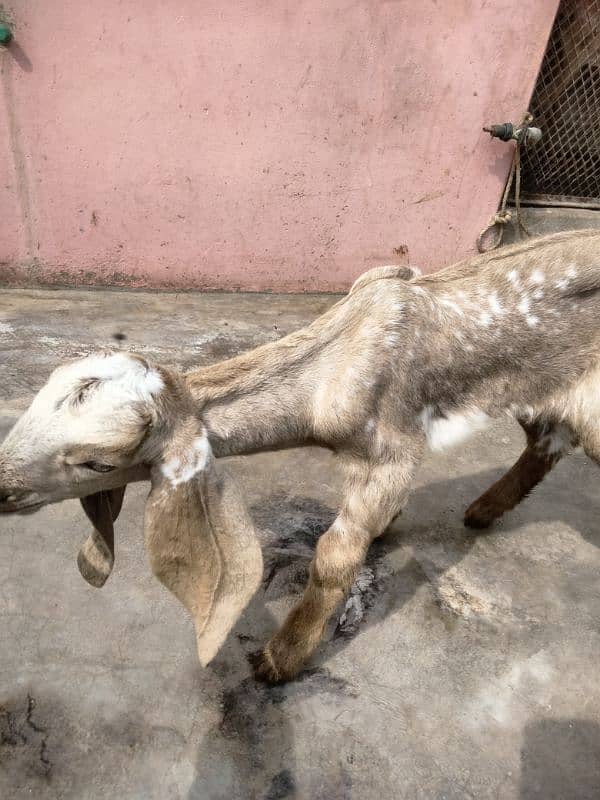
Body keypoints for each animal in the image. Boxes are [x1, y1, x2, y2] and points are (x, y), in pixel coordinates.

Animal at [1, 228, 600, 684]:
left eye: (97, 464)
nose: (2, 485)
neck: (334, 365)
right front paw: (388, 523)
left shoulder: (392, 450)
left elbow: (335, 555)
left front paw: (279, 659)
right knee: (543, 442)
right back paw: (481, 512)